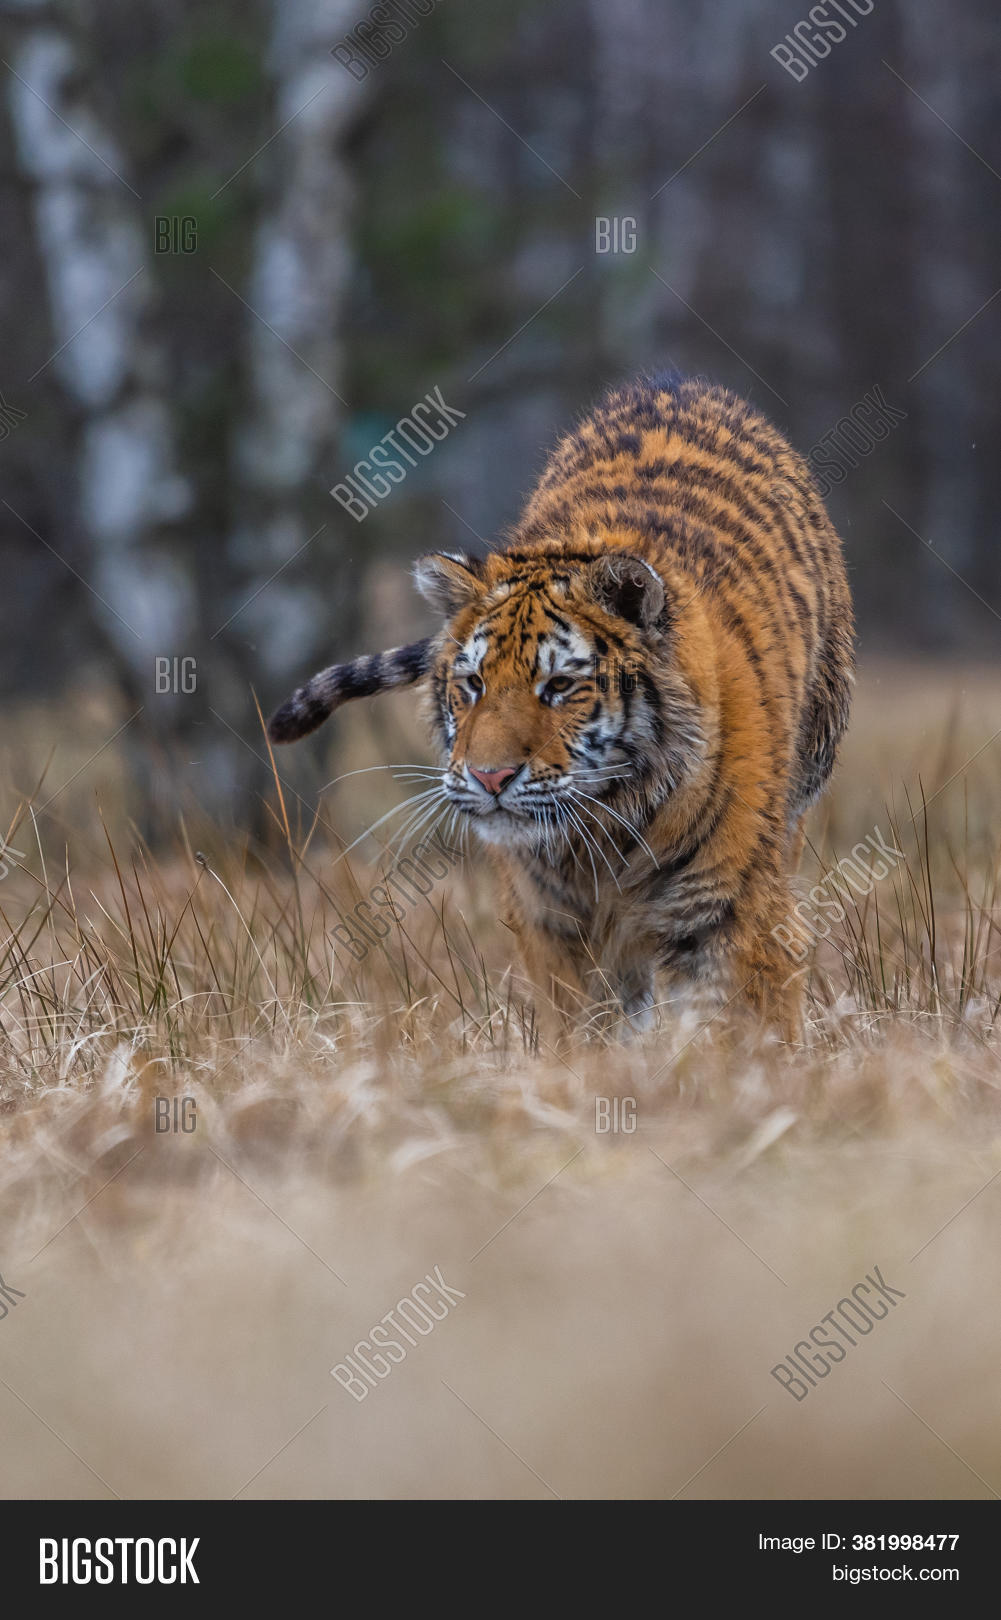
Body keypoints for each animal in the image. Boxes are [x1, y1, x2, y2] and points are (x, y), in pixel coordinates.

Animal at [268, 374, 854, 1039]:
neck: (606, 830)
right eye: (473, 683)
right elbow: (582, 1032)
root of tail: (680, 382)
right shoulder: (553, 923)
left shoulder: (735, 910)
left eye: (558, 687)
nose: (489, 777)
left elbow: (741, 1031)